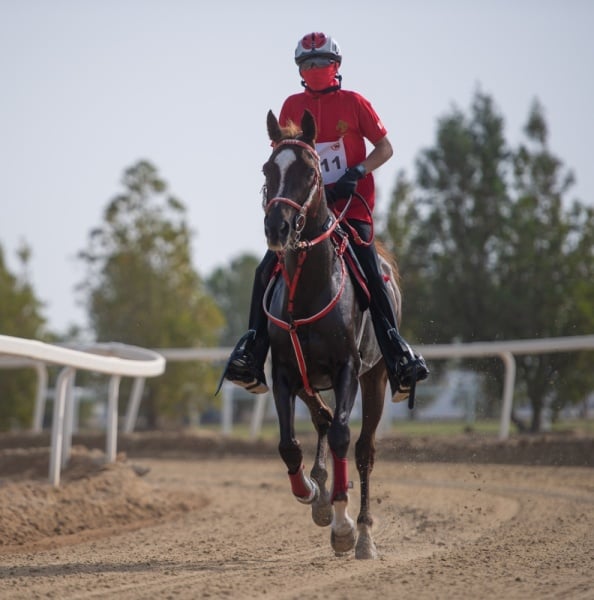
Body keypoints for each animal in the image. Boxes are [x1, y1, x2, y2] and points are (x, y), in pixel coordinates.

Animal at [262, 106, 400, 556]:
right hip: (310, 379)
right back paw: (321, 492)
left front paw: (344, 526)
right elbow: (289, 444)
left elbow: (342, 434)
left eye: (310, 170)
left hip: (376, 377)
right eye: (268, 168)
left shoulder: (347, 370)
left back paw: (365, 534)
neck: (309, 287)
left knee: (363, 448)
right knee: (321, 420)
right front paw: (310, 491)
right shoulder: (285, 372)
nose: (277, 228)